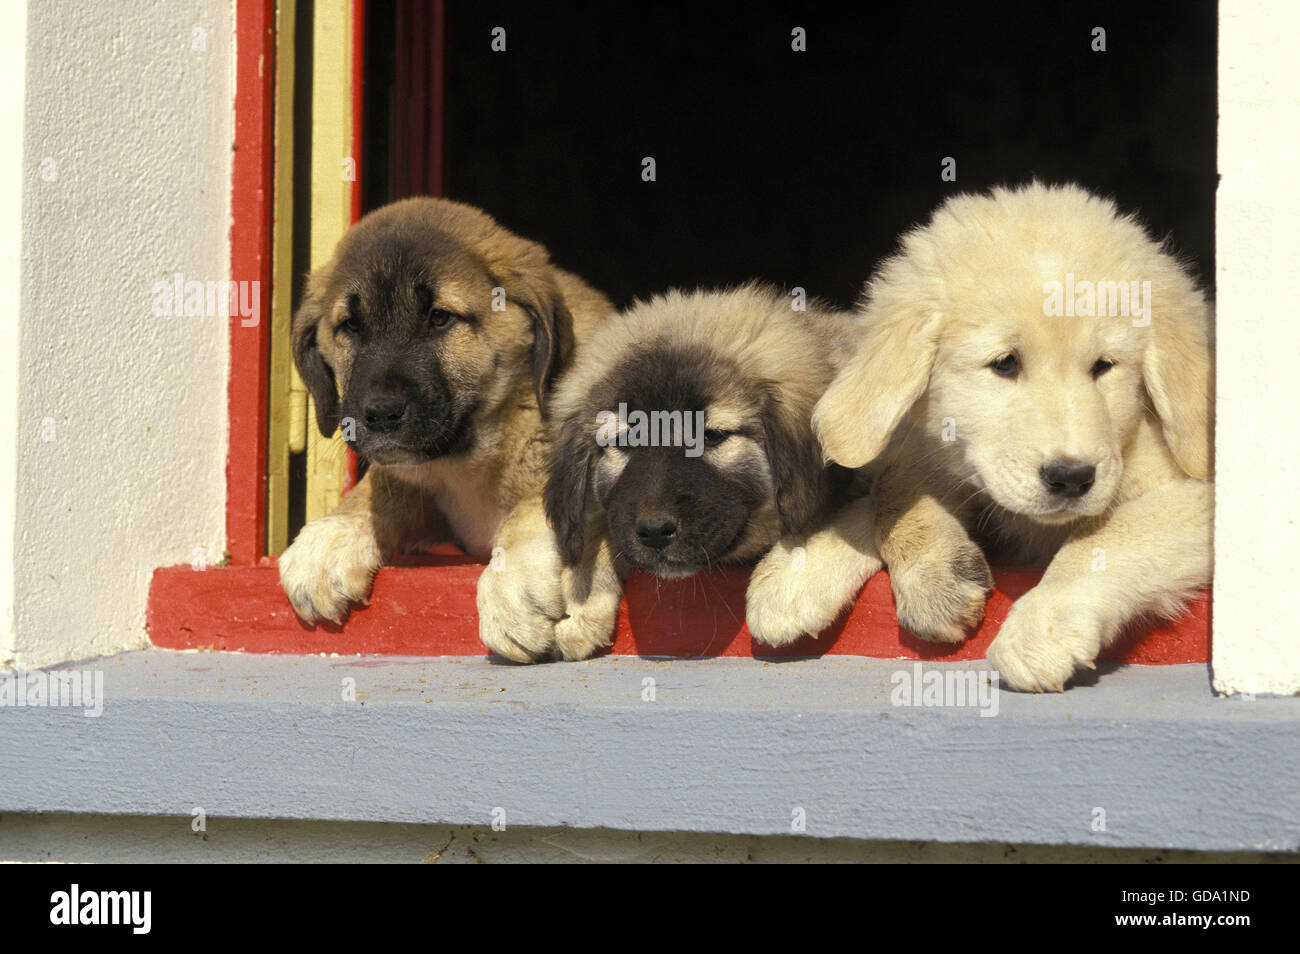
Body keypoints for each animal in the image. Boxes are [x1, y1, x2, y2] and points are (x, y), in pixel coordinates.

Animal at [279, 198, 613, 665]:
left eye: (440, 318)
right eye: (350, 326)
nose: (380, 413)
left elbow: (533, 509)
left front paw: (510, 589)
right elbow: (386, 484)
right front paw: (332, 535)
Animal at [759, 183, 1211, 691]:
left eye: (1104, 366)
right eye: (1005, 363)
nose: (1072, 478)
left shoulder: (1200, 495)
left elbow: (1108, 539)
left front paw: (1040, 625)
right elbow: (885, 500)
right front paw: (800, 567)